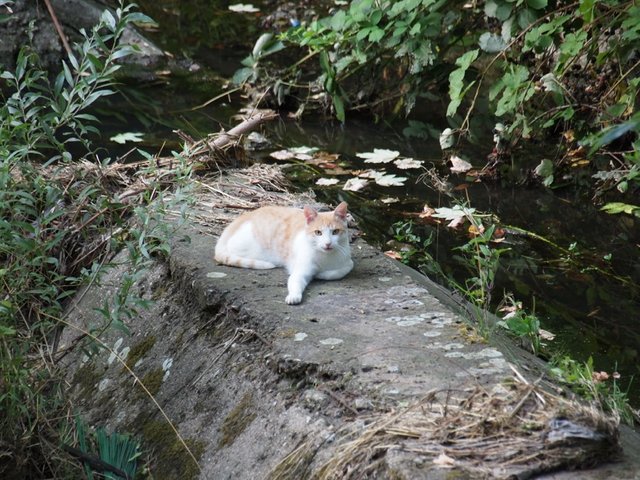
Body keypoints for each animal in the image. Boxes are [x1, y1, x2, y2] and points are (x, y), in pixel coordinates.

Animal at [215, 202, 356, 304]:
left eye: (335, 232)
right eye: (318, 233)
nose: (328, 243)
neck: (324, 257)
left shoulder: (348, 262)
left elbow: (337, 272)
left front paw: (321, 274)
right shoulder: (300, 270)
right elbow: (294, 281)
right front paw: (293, 296)